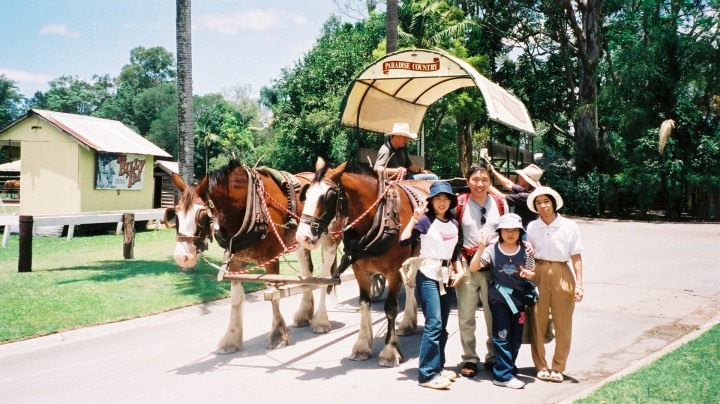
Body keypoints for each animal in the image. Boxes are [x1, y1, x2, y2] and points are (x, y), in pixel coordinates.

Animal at [169, 159, 340, 352]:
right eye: (176, 214)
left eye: (201, 215)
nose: (182, 256)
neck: (249, 206)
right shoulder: (236, 262)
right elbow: (236, 298)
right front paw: (232, 338)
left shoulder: (271, 258)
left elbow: (273, 293)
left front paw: (278, 334)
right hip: (301, 241)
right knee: (307, 273)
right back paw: (304, 314)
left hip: (331, 238)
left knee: (325, 277)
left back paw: (321, 321)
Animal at [296, 159, 424, 368]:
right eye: (306, 196)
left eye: (327, 197)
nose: (302, 237)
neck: (380, 217)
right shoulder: (360, 271)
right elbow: (364, 304)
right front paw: (362, 346)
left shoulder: (394, 271)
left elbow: (390, 308)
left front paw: (390, 351)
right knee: (410, 284)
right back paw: (407, 323)